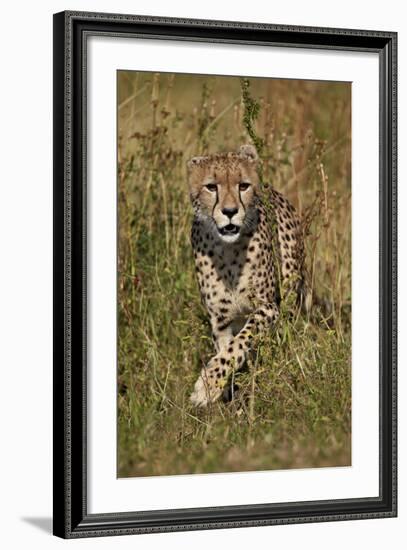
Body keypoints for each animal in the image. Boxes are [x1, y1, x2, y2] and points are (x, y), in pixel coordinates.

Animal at [188, 144, 312, 408]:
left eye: (243, 185)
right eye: (211, 187)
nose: (230, 211)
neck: (228, 251)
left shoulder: (268, 307)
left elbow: (240, 342)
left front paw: (207, 385)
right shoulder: (221, 320)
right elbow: (227, 350)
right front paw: (221, 389)